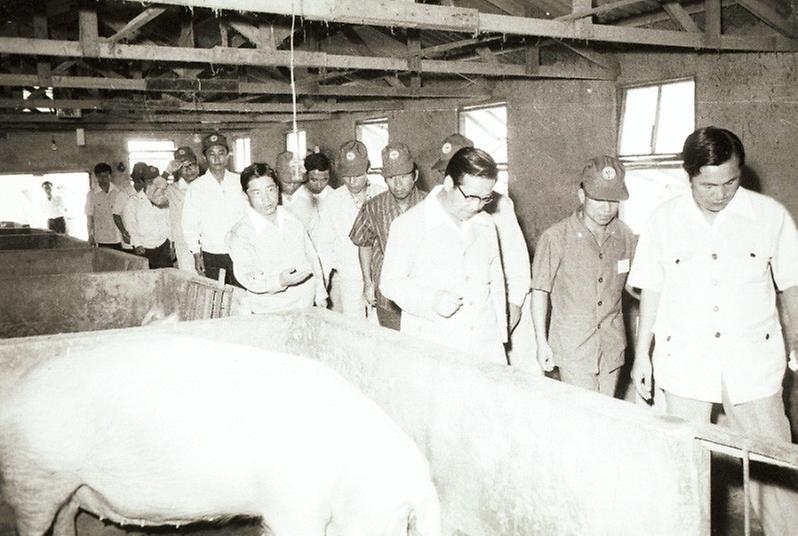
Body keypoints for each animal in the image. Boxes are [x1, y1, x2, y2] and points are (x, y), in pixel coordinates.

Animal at [0, 336, 440, 536]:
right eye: (404, 515)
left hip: (66, 485)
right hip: (35, 477)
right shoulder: (293, 504)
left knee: (66, 518)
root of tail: (16, 393)